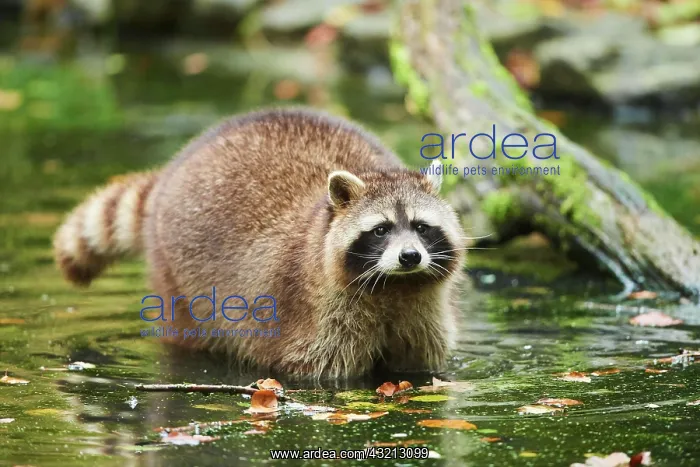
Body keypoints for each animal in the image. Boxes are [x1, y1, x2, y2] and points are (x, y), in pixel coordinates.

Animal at [53, 107, 467, 379]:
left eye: (421, 227)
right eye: (381, 230)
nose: (410, 257)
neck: (393, 288)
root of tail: (173, 169)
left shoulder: (424, 314)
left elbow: (418, 368)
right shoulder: (312, 318)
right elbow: (317, 373)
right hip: (176, 278)